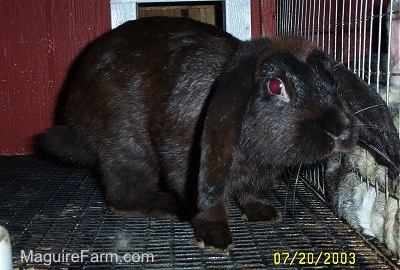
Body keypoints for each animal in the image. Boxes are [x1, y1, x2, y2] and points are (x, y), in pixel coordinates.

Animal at [37, 17, 400, 251]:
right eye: (275, 86)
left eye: (332, 81)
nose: (338, 129)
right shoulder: (189, 161)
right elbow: (209, 204)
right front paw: (216, 240)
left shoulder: (259, 175)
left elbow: (254, 193)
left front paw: (265, 215)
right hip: (125, 146)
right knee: (120, 193)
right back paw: (165, 206)